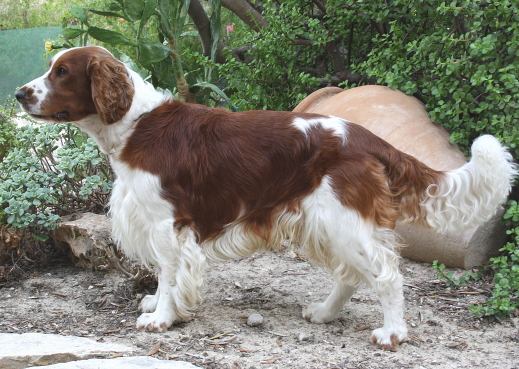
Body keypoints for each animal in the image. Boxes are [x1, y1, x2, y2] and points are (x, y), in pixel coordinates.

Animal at [15, 46, 516, 350]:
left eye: (62, 72)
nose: (19, 93)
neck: (136, 125)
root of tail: (369, 138)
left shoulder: (165, 223)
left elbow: (168, 274)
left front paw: (161, 317)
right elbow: (165, 276)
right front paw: (160, 305)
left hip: (344, 219)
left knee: (386, 275)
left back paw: (392, 333)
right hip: (326, 222)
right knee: (352, 275)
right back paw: (324, 313)